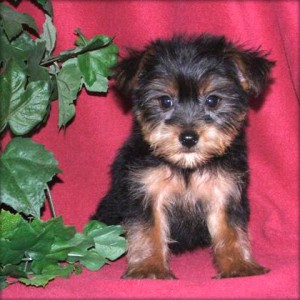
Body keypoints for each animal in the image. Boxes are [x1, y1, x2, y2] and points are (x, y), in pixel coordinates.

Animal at [92, 34, 276, 280]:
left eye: (213, 100)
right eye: (165, 101)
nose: (188, 138)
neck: (187, 167)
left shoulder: (224, 188)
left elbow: (230, 230)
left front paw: (239, 266)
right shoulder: (145, 188)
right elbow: (148, 230)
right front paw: (149, 268)